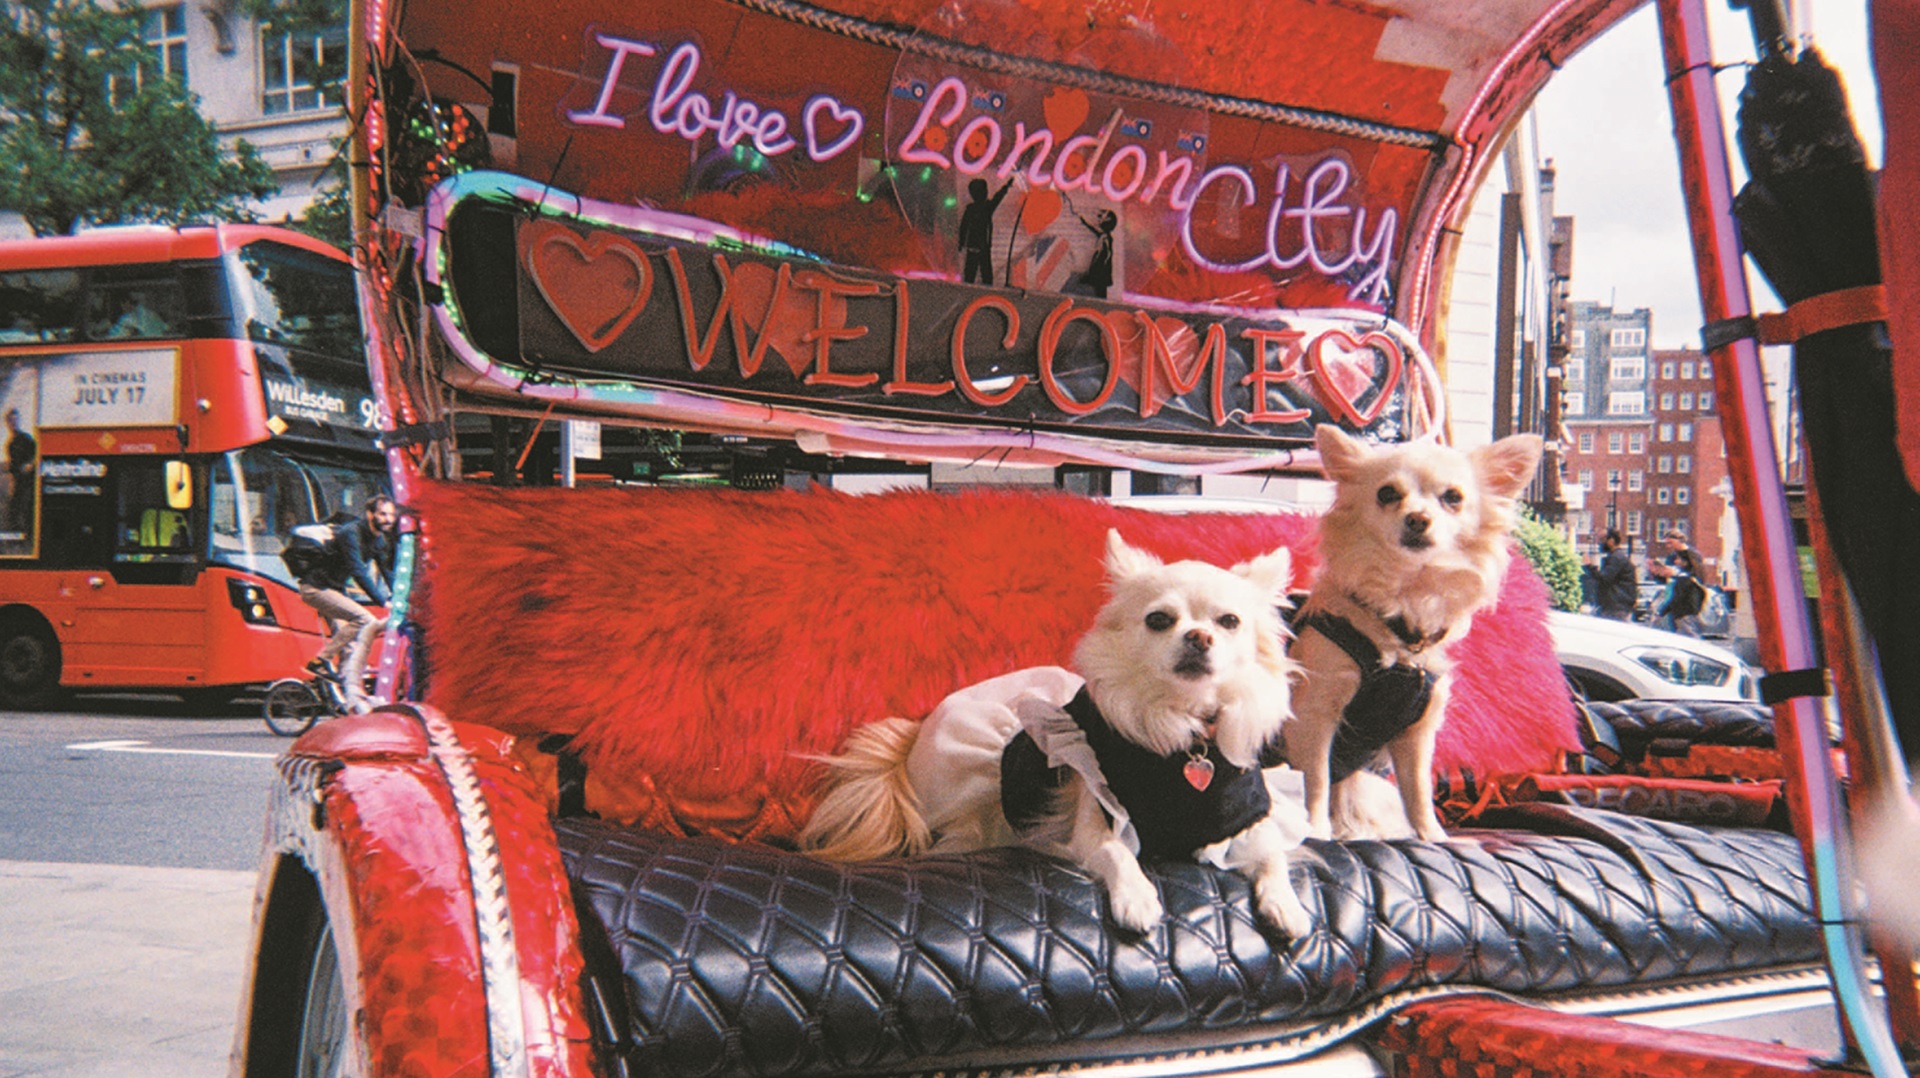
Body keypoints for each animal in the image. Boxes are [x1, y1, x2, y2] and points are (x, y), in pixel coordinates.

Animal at [802, 526, 1313, 933]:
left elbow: (1273, 851)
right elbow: (1116, 851)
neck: (1184, 730)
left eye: (1229, 622)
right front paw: (1137, 897)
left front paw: (1287, 904)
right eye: (1158, 620)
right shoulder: (1095, 811)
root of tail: (917, 729)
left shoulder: (1248, 816)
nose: (1199, 637)